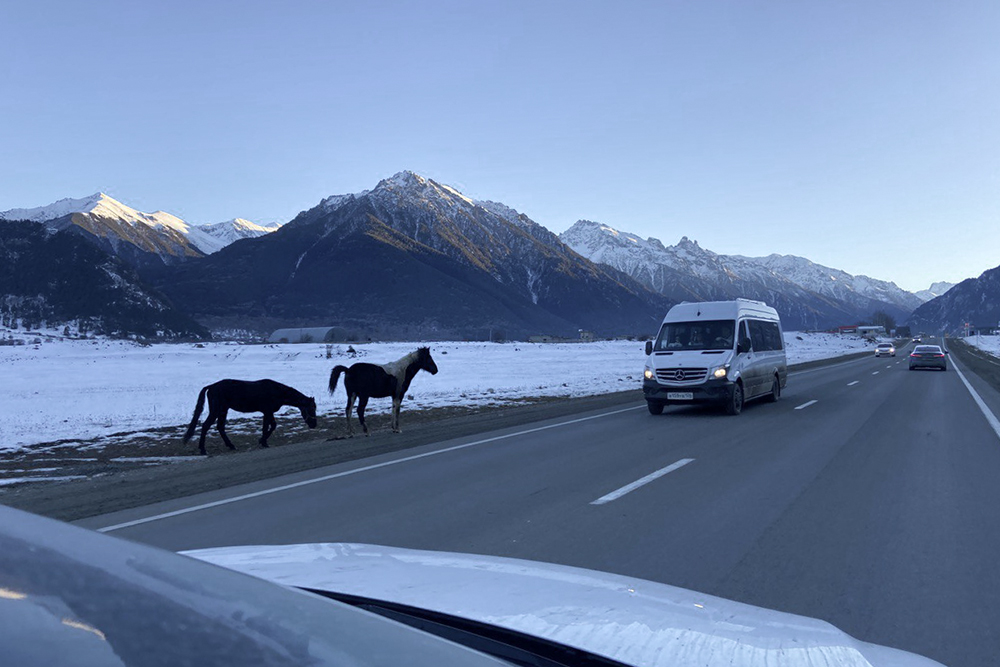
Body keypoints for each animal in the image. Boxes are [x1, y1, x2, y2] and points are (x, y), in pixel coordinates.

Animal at [184, 378, 316, 456]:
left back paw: (231, 446)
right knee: (206, 426)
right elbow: (273, 425)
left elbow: (266, 427)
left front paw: (263, 442)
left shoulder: (266, 412)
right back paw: (203, 449)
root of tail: (211, 386)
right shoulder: (268, 411)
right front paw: (262, 441)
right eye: (311, 408)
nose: (314, 425)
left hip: (223, 410)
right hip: (217, 410)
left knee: (220, 427)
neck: (277, 392)